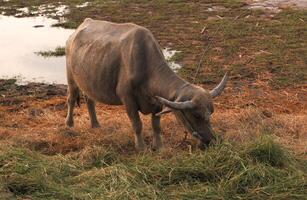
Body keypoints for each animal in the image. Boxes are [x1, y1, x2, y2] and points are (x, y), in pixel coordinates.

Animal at [65, 18, 229, 150]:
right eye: (195, 115)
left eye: (211, 112)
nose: (209, 140)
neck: (147, 69)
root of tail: (77, 30)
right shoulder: (128, 99)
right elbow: (137, 125)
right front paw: (141, 147)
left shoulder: (157, 103)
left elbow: (156, 126)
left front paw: (159, 146)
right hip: (70, 77)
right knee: (71, 99)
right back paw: (69, 124)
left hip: (87, 82)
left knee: (90, 100)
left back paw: (95, 125)